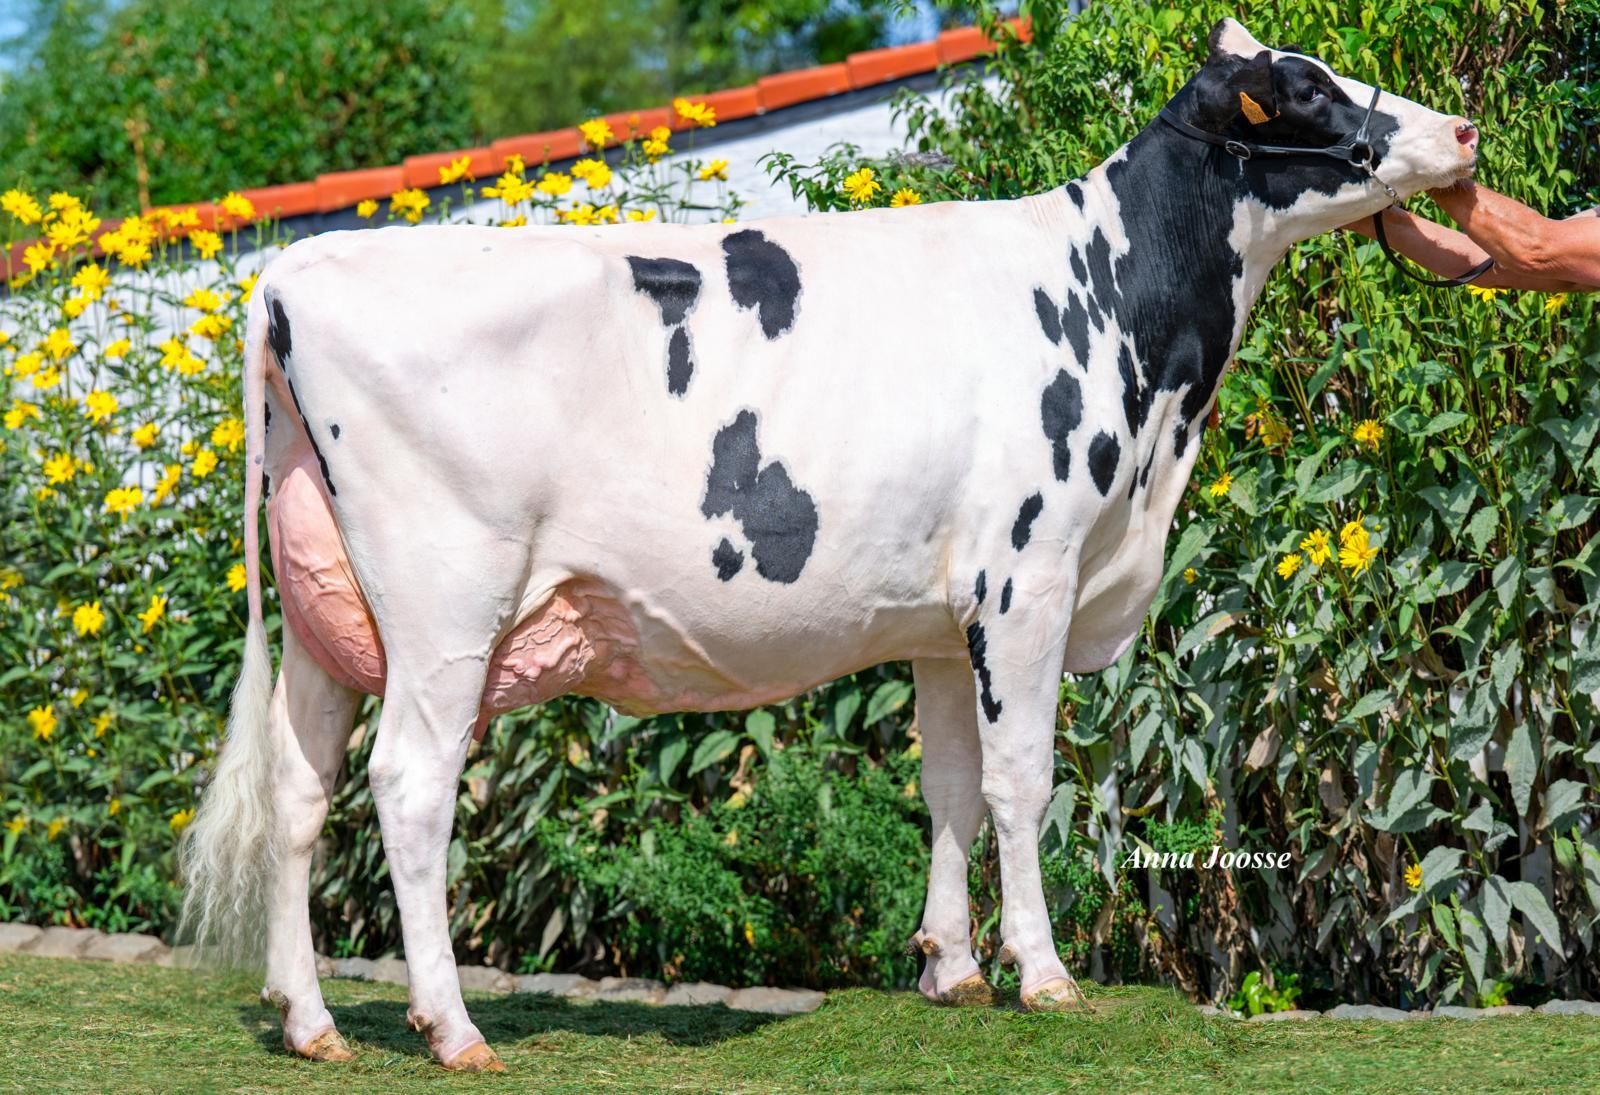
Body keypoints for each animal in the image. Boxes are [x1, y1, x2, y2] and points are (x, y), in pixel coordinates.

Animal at [180, 18, 1478, 1071]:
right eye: (1303, 91)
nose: (1463, 129)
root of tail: (294, 266)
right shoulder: (1029, 577)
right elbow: (1020, 779)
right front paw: (1043, 976)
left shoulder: (949, 617)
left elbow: (949, 783)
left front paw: (951, 969)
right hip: (447, 604)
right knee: (409, 788)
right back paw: (451, 1028)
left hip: (323, 614)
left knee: (298, 789)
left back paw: (310, 1022)